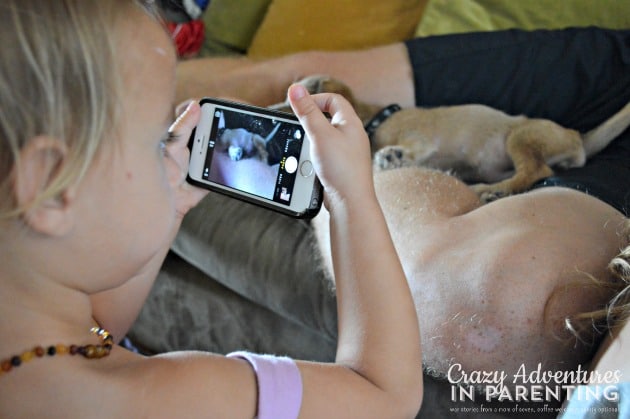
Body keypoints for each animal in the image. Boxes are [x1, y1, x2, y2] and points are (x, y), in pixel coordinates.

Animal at [278, 76, 630, 203]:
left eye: (293, 99)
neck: (375, 118)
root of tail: (579, 138)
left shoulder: (419, 139)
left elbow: (407, 150)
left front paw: (392, 158)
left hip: (520, 136)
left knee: (536, 170)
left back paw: (493, 191)